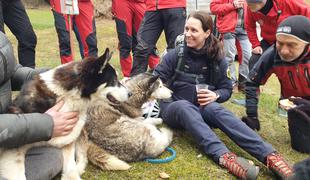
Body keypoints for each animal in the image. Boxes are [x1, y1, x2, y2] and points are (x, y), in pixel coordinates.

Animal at [0, 48, 131, 179]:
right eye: (113, 81)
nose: (131, 94)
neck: (69, 97)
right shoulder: (12, 152)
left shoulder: (67, 142)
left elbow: (71, 170)